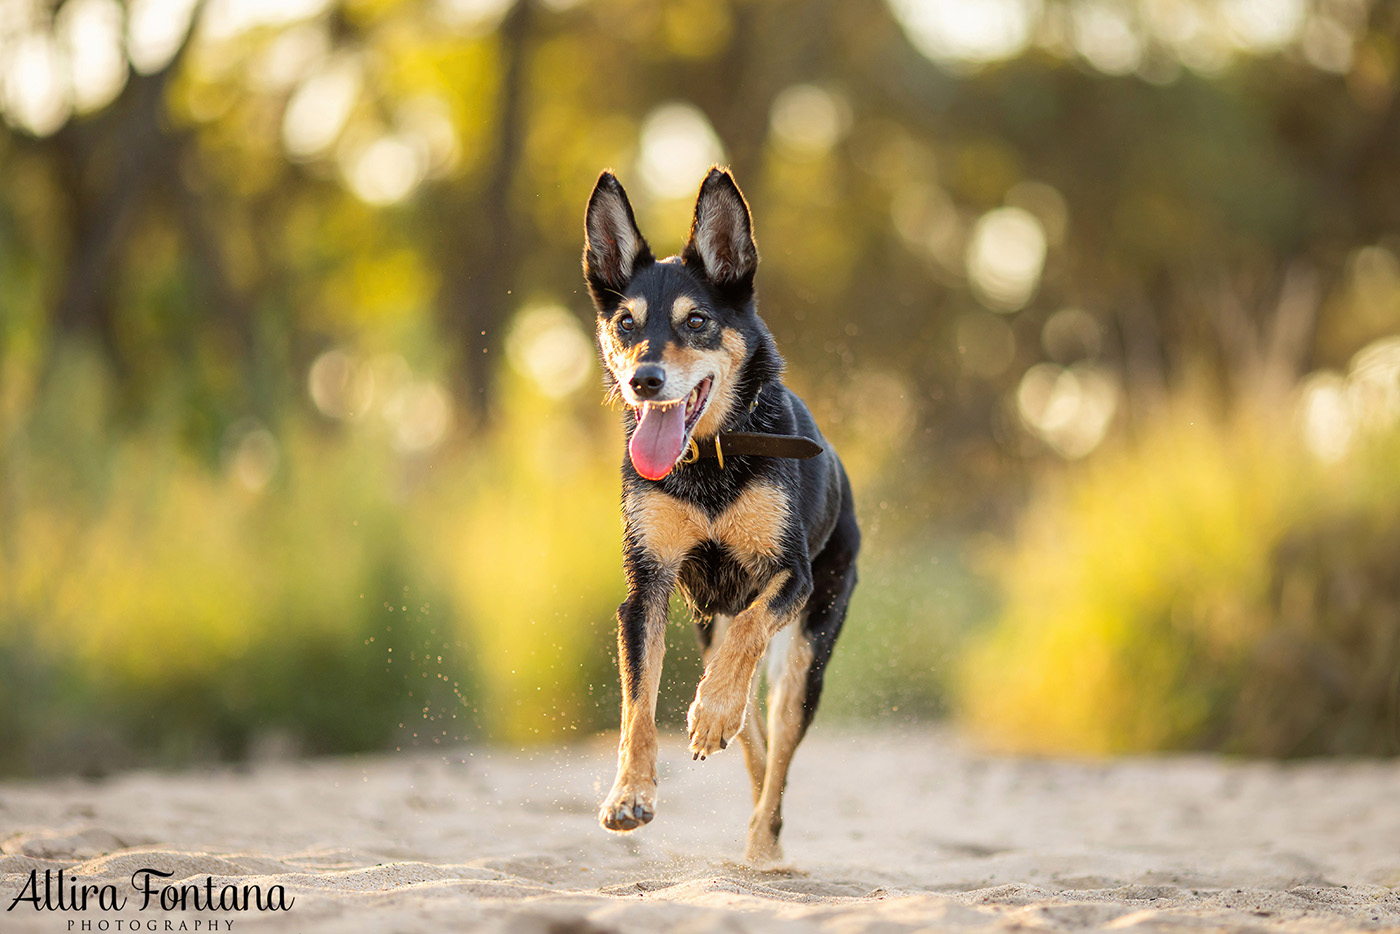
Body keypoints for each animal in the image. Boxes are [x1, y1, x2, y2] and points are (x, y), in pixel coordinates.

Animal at [574, 165, 856, 862]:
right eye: (625, 325)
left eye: (697, 320)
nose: (644, 380)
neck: (707, 459)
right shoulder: (646, 587)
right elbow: (637, 703)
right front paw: (629, 795)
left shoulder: (790, 575)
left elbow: (753, 627)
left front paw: (707, 715)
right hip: (710, 625)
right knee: (752, 734)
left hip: (807, 654)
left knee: (776, 750)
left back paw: (762, 847)